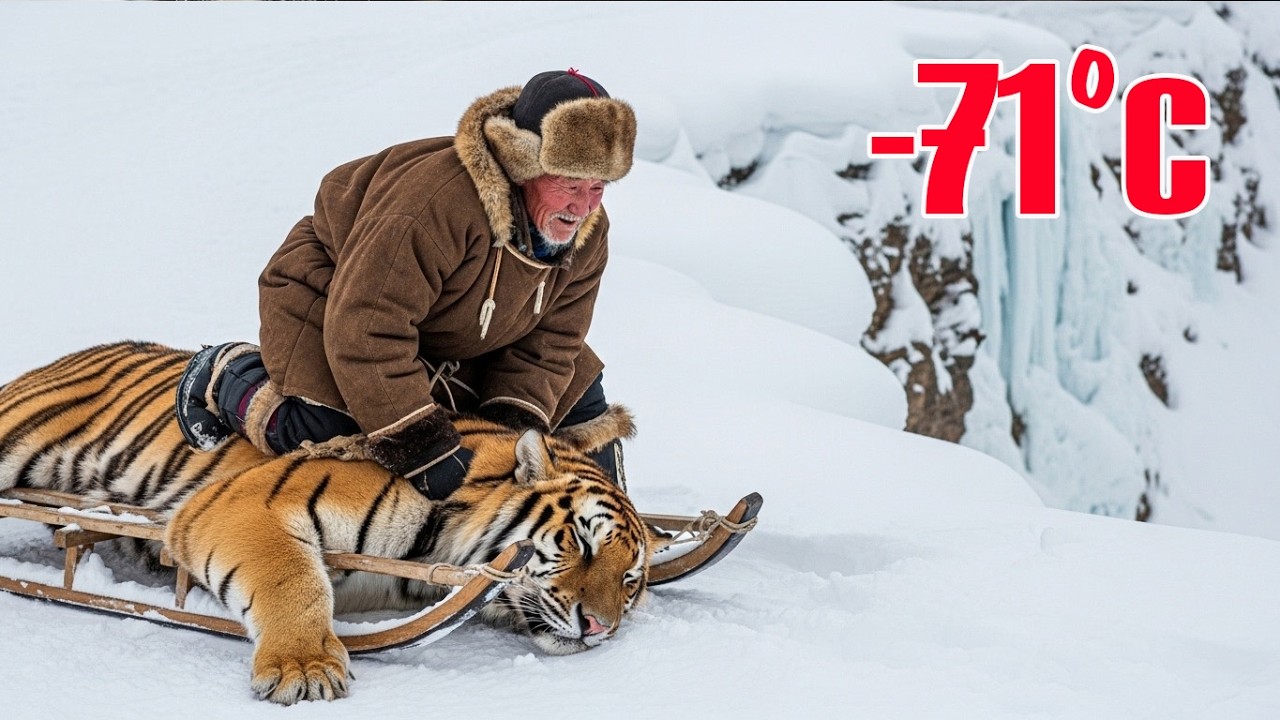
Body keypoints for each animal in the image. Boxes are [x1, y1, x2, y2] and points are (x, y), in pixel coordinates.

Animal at [0, 341, 656, 704]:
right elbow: (293, 578)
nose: (599, 628)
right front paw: (305, 668)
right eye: (580, 541)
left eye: (629, 580)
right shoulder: (250, 504)